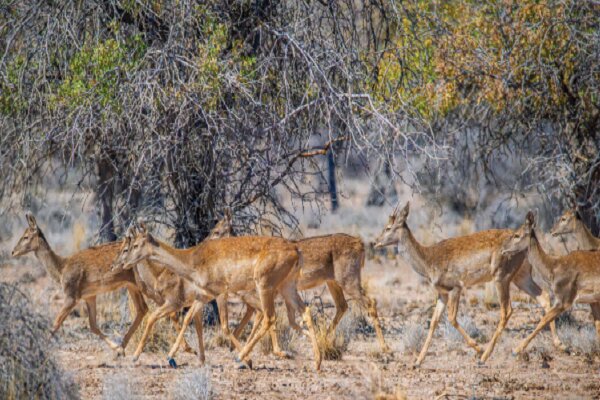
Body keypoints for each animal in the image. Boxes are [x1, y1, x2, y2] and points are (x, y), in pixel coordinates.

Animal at [10, 214, 148, 354]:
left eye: (26, 236)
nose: (13, 252)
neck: (61, 268)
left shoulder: (71, 296)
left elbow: (55, 323)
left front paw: (40, 350)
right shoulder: (89, 296)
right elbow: (93, 326)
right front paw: (116, 347)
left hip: (138, 283)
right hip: (131, 285)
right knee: (142, 309)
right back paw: (122, 347)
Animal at [110, 223, 322, 370]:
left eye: (134, 245)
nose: (119, 264)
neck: (192, 259)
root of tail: (296, 249)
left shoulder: (219, 294)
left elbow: (223, 326)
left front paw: (137, 356)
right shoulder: (203, 297)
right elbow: (189, 320)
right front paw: (174, 356)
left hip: (265, 287)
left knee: (270, 317)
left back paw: (241, 358)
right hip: (287, 287)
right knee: (304, 312)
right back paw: (317, 362)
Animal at [372, 203, 560, 366]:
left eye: (388, 227)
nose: (376, 242)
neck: (428, 260)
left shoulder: (456, 286)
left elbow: (451, 318)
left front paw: (478, 348)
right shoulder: (442, 293)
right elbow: (433, 322)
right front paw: (417, 362)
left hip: (501, 277)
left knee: (507, 310)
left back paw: (484, 357)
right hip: (521, 276)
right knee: (544, 296)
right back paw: (557, 344)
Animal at [502, 211, 600, 354]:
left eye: (517, 235)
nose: (503, 249)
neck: (553, 266)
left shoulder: (564, 301)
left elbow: (542, 321)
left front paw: (516, 350)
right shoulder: (593, 301)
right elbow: (598, 326)